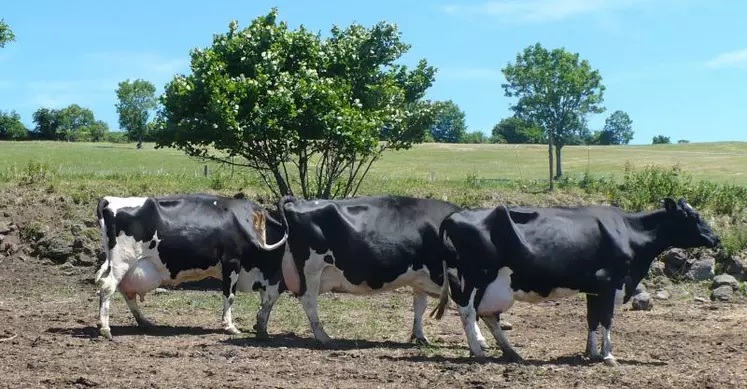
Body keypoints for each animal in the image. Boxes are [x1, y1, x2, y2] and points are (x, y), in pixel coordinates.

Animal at [93, 192, 290, 338]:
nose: (262, 330)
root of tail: (111, 200)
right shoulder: (232, 261)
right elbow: (230, 295)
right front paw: (230, 326)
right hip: (122, 261)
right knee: (108, 286)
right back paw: (105, 328)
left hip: (122, 264)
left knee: (124, 290)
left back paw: (144, 322)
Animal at [274, 194, 496, 346]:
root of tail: (295, 202)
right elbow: (467, 307)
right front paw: (479, 339)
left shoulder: (420, 277)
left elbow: (420, 306)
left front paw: (419, 335)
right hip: (311, 271)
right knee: (309, 301)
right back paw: (324, 337)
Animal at [436, 199, 720, 366]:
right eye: (693, 217)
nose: (716, 238)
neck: (630, 232)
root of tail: (454, 216)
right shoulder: (610, 283)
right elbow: (606, 319)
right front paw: (608, 355)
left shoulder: (595, 288)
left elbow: (592, 319)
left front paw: (590, 352)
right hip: (476, 276)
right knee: (467, 311)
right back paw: (479, 352)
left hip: (488, 283)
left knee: (487, 315)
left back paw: (512, 353)